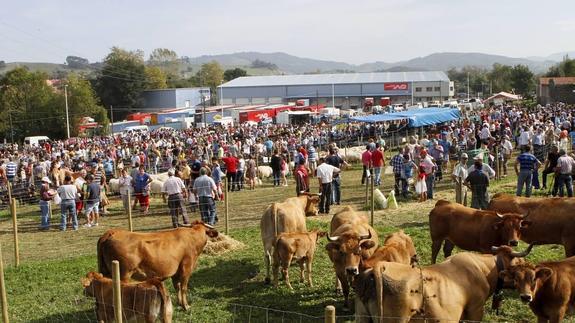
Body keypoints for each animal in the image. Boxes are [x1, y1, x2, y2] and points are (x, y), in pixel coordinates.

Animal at [356, 246, 536, 323]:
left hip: (363, 318)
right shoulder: (475, 310)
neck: (482, 268)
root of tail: (380, 267)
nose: (526, 296)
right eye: (521, 264)